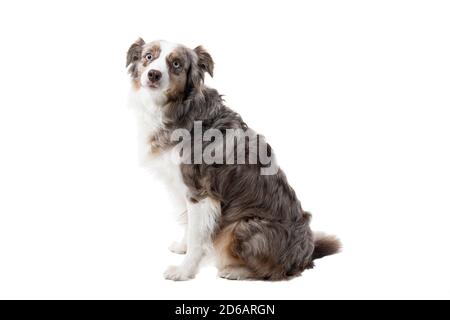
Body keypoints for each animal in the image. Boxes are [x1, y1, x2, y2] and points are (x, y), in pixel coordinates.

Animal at [125, 38, 340, 282]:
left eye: (176, 64)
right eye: (148, 57)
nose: (153, 74)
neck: (179, 107)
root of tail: (306, 255)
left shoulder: (201, 192)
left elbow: (197, 235)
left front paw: (184, 270)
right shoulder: (183, 188)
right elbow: (190, 225)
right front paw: (182, 246)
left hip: (241, 226)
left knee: (273, 272)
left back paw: (235, 271)